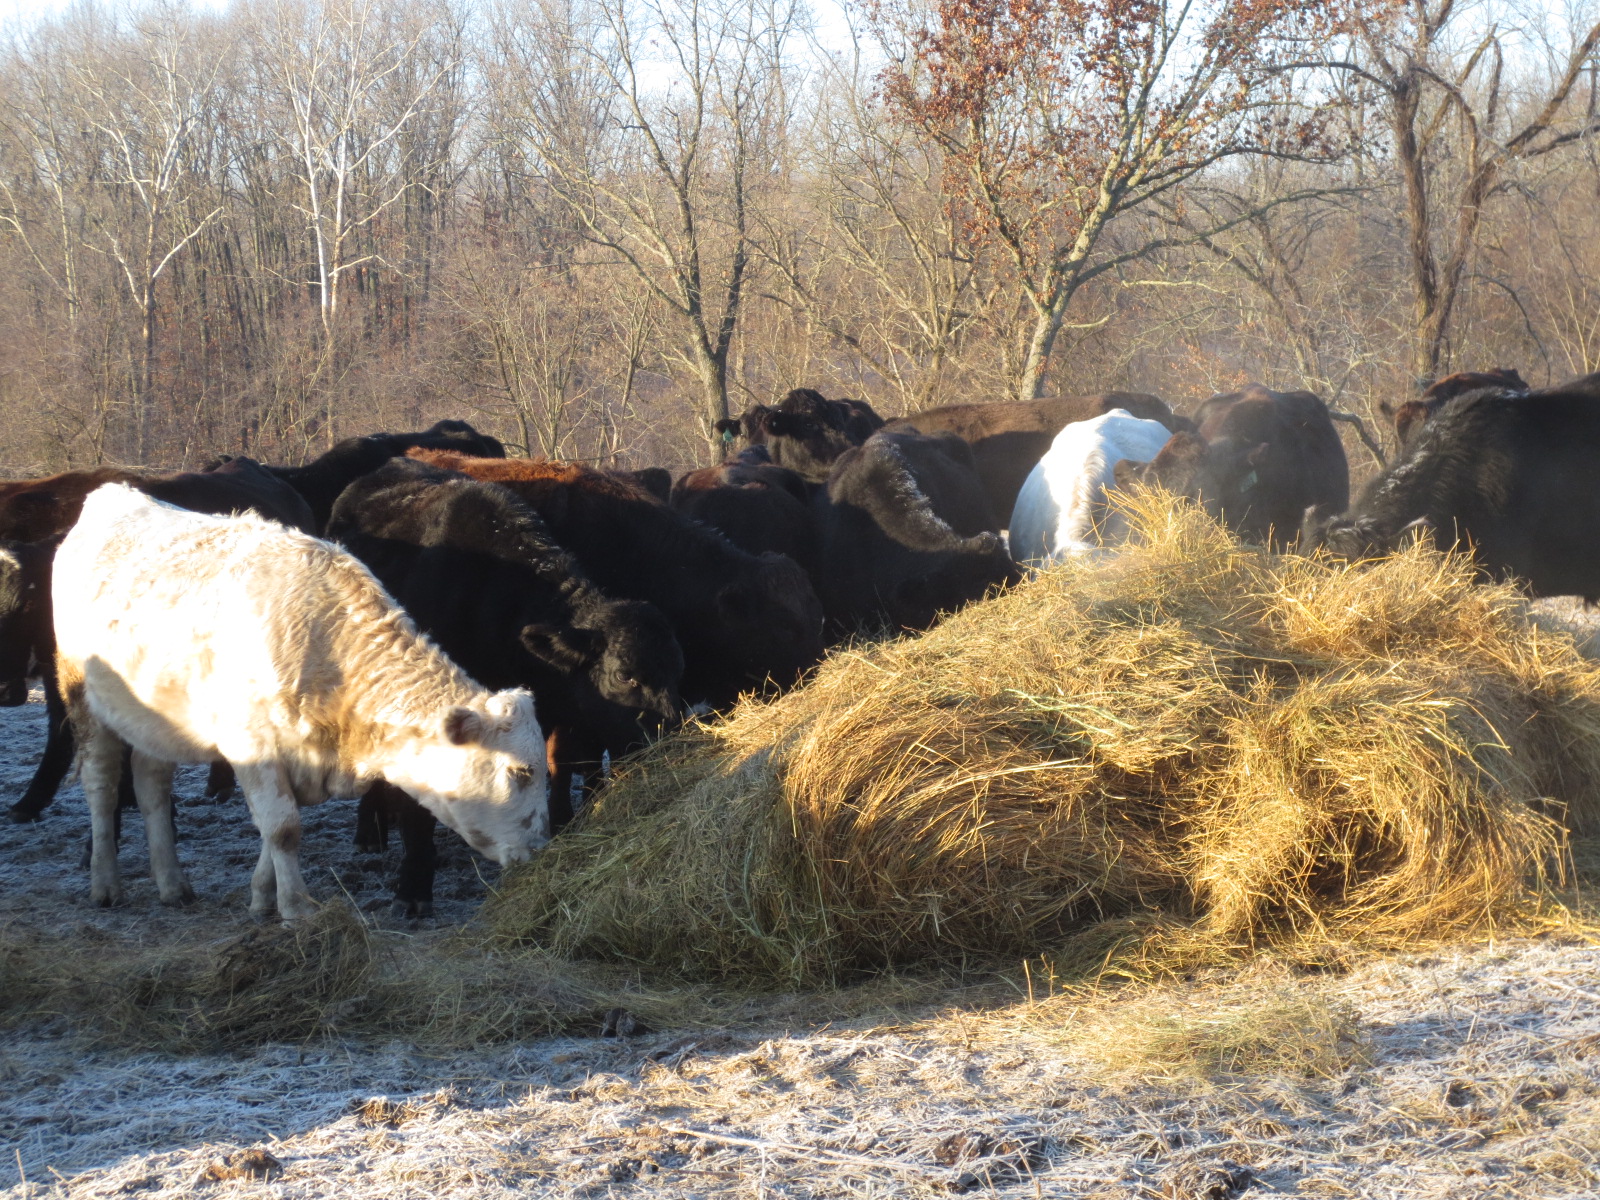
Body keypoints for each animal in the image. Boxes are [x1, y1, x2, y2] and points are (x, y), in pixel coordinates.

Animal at [54, 485, 550, 920]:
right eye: (521, 772)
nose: (543, 848)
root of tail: (113, 494)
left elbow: (269, 829)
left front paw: (262, 896)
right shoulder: (251, 744)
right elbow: (282, 828)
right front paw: (295, 908)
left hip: (154, 721)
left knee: (151, 783)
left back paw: (172, 883)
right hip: (81, 696)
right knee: (101, 785)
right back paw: (106, 883)